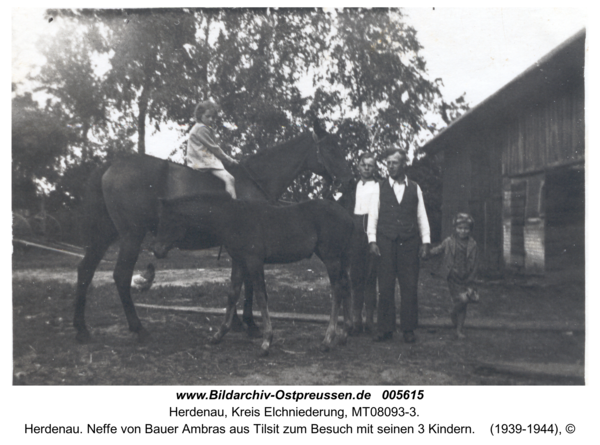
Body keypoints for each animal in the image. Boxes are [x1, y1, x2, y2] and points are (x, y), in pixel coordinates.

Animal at [152, 191, 354, 354]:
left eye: (169, 221)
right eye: (160, 221)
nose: (156, 250)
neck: (233, 218)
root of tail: (347, 216)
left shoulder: (254, 262)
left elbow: (260, 296)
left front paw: (266, 341)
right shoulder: (239, 262)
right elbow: (232, 294)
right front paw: (219, 334)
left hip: (331, 257)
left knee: (337, 290)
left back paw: (327, 340)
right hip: (339, 258)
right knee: (346, 285)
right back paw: (344, 334)